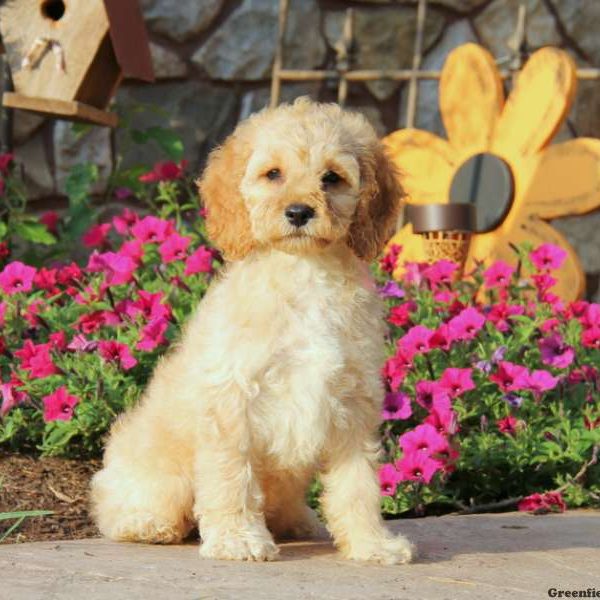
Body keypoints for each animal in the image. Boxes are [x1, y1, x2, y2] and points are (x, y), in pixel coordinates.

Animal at [91, 96, 414, 564]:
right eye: (273, 174)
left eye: (332, 178)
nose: (298, 212)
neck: (302, 272)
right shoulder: (233, 398)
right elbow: (232, 476)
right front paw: (238, 539)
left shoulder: (353, 401)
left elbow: (359, 484)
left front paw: (372, 543)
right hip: (160, 480)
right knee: (121, 509)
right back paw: (148, 524)